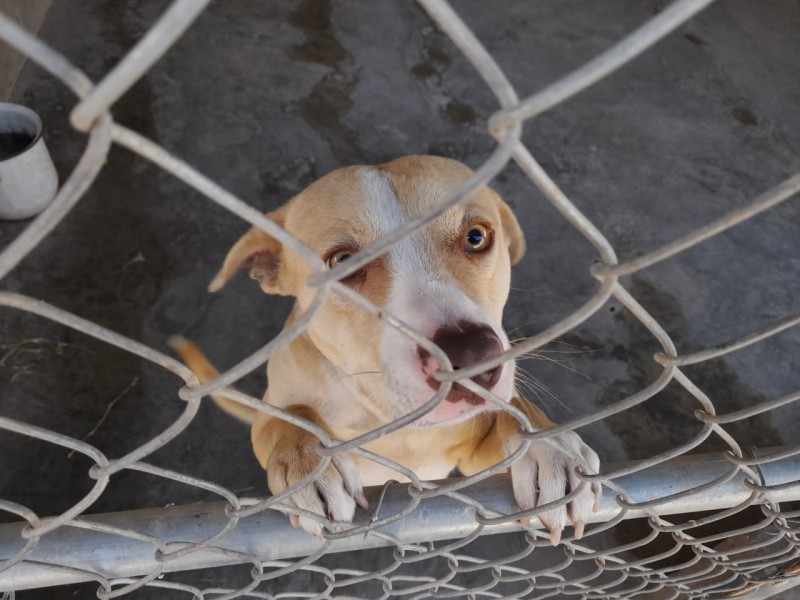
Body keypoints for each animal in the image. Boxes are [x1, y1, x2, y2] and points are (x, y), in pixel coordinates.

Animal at [173, 154, 600, 544]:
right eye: (342, 262)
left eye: (477, 237)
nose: (473, 358)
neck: (389, 418)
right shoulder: (269, 414)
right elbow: (289, 420)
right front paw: (308, 464)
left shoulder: (474, 457)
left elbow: (514, 413)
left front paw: (550, 447)